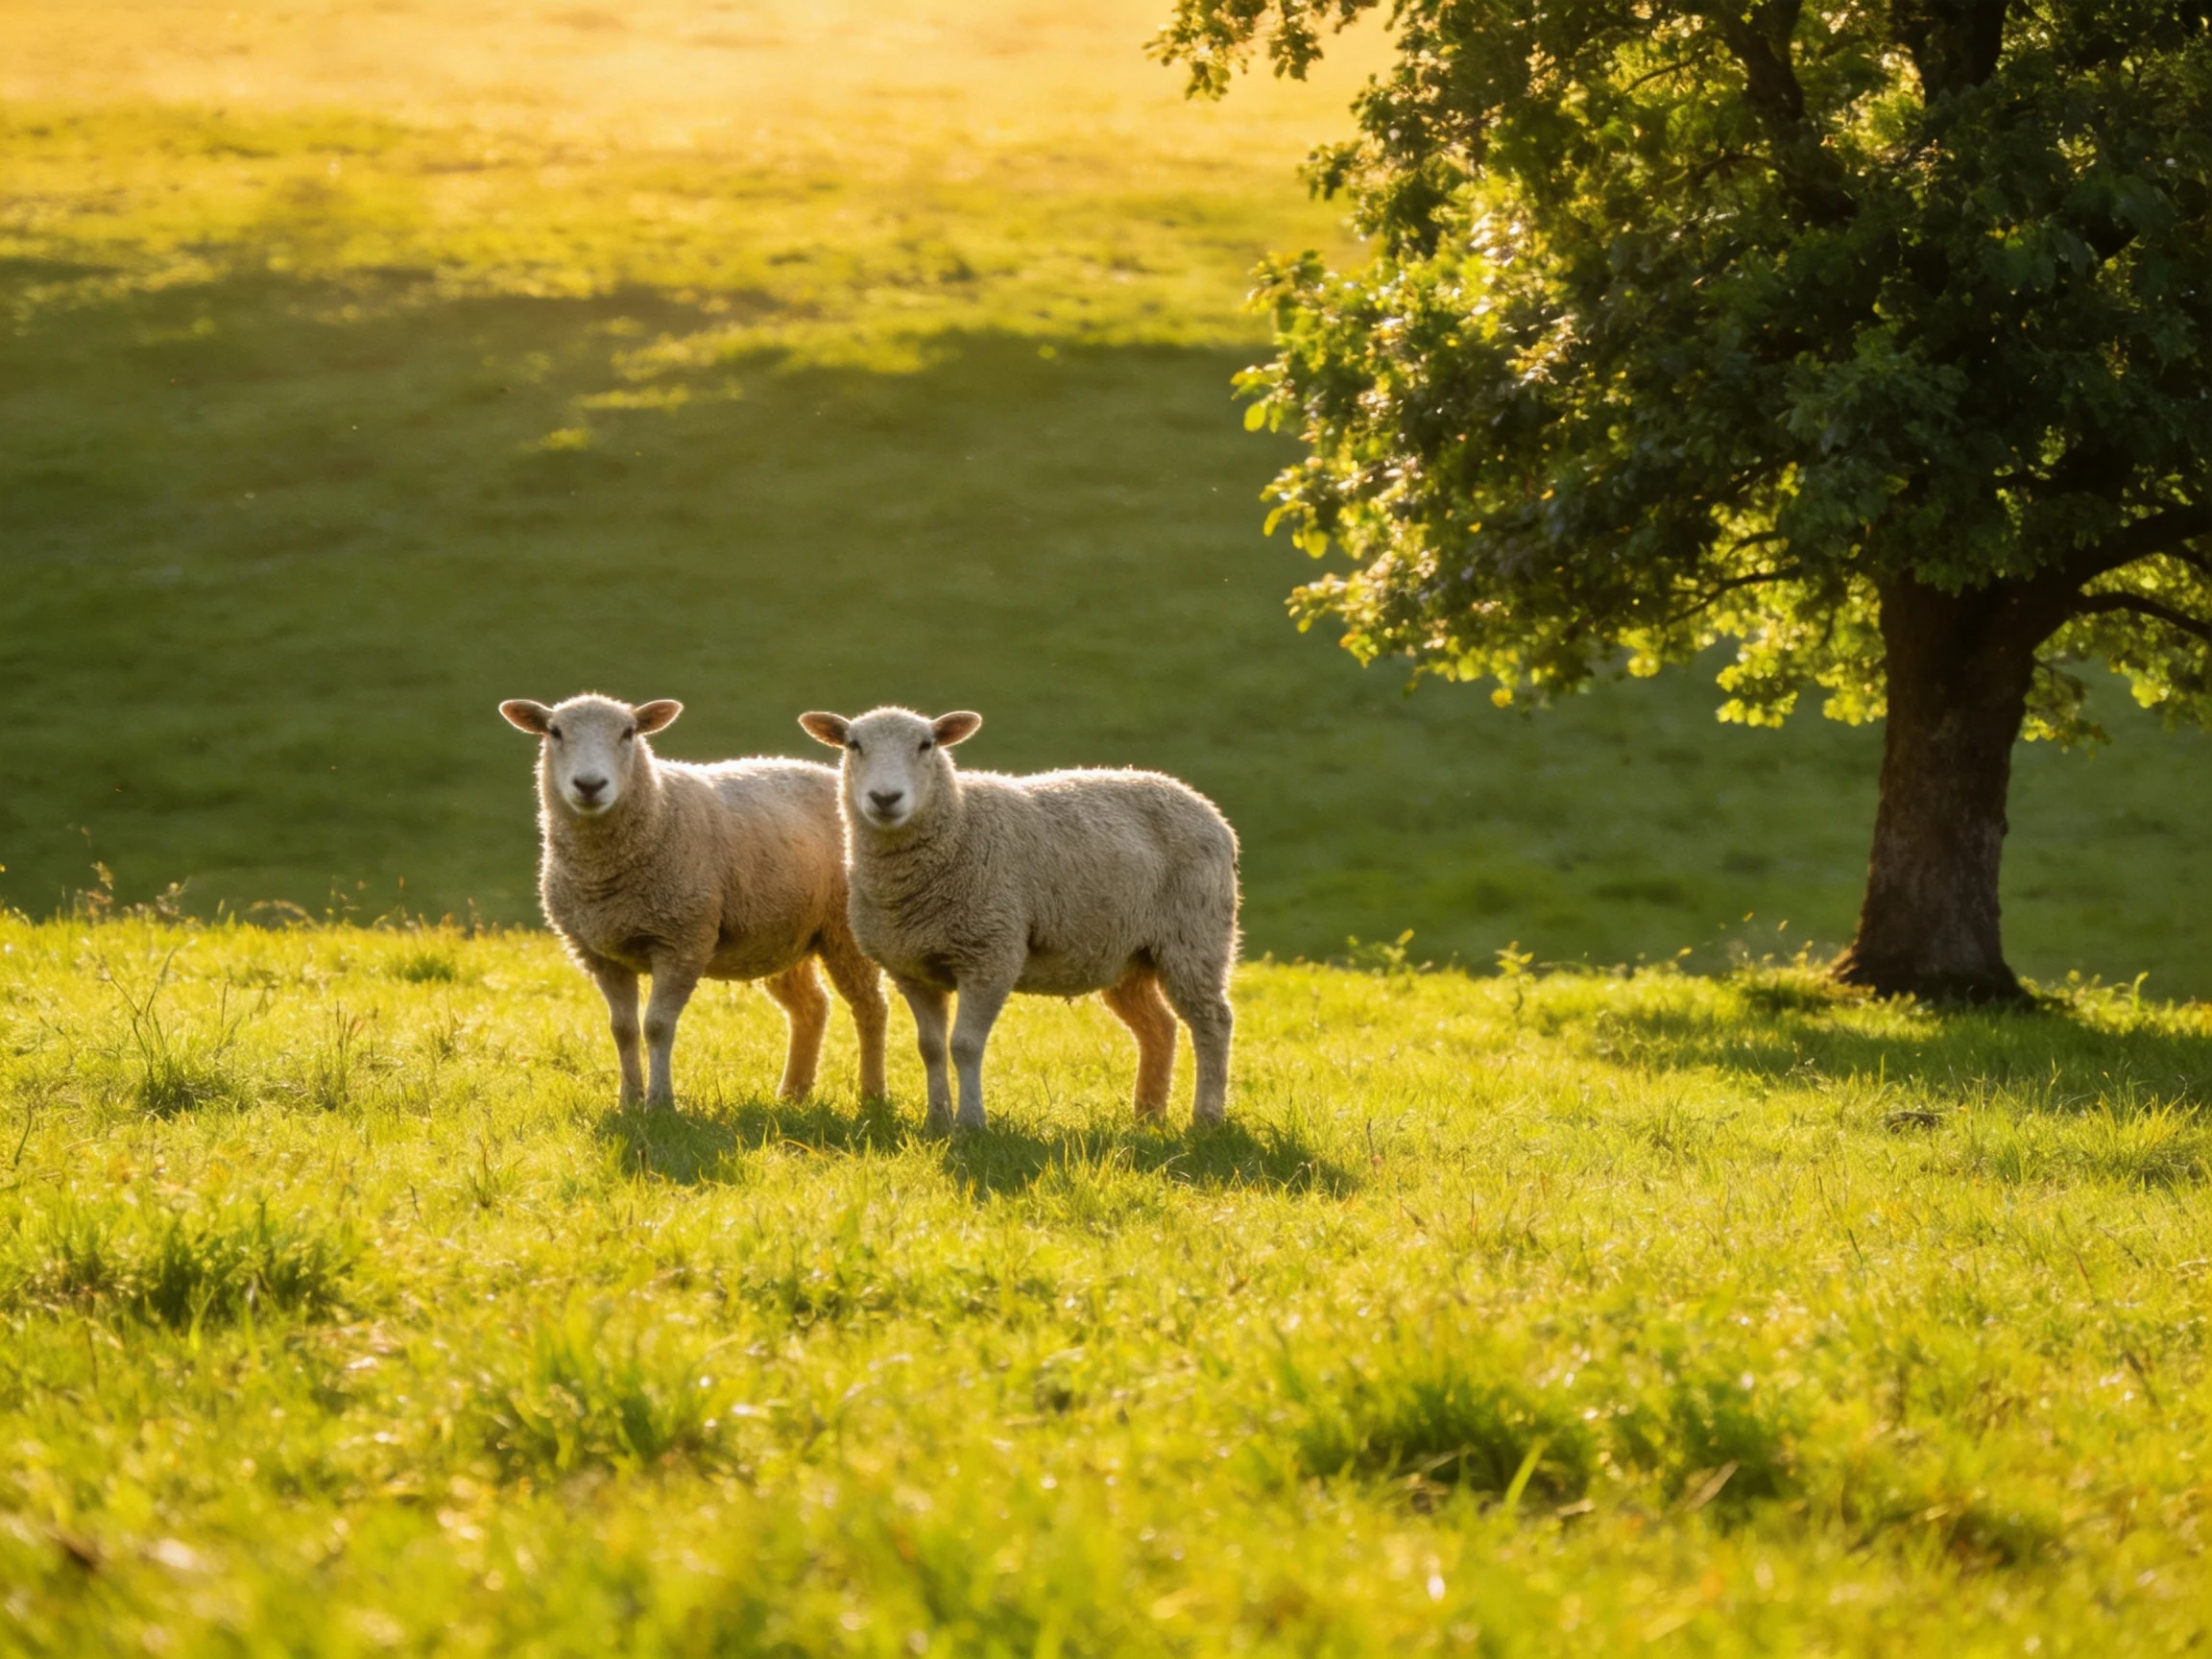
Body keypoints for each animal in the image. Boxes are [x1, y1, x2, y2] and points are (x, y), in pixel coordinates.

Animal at [499, 693, 887, 1110]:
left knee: (870, 1006)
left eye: (629, 732)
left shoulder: (682, 940)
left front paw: (660, 1103)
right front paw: (629, 1101)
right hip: (785, 936)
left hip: (844, 930)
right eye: (554, 732)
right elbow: (622, 1029)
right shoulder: (599, 953)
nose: (589, 785)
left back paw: (872, 1095)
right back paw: (792, 1094)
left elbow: (656, 1026)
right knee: (811, 1007)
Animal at [798, 705, 1238, 1132]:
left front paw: (971, 1124)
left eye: (927, 744)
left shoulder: (990, 954)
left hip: (1194, 936)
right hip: (1127, 954)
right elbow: (931, 1048)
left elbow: (964, 1045)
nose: (885, 798)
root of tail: (1204, 806)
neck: (958, 829)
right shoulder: (911, 968)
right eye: (853, 745)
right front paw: (936, 1121)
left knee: (1213, 1021)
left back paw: (1206, 1118)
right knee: (1158, 1026)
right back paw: (1148, 1115)